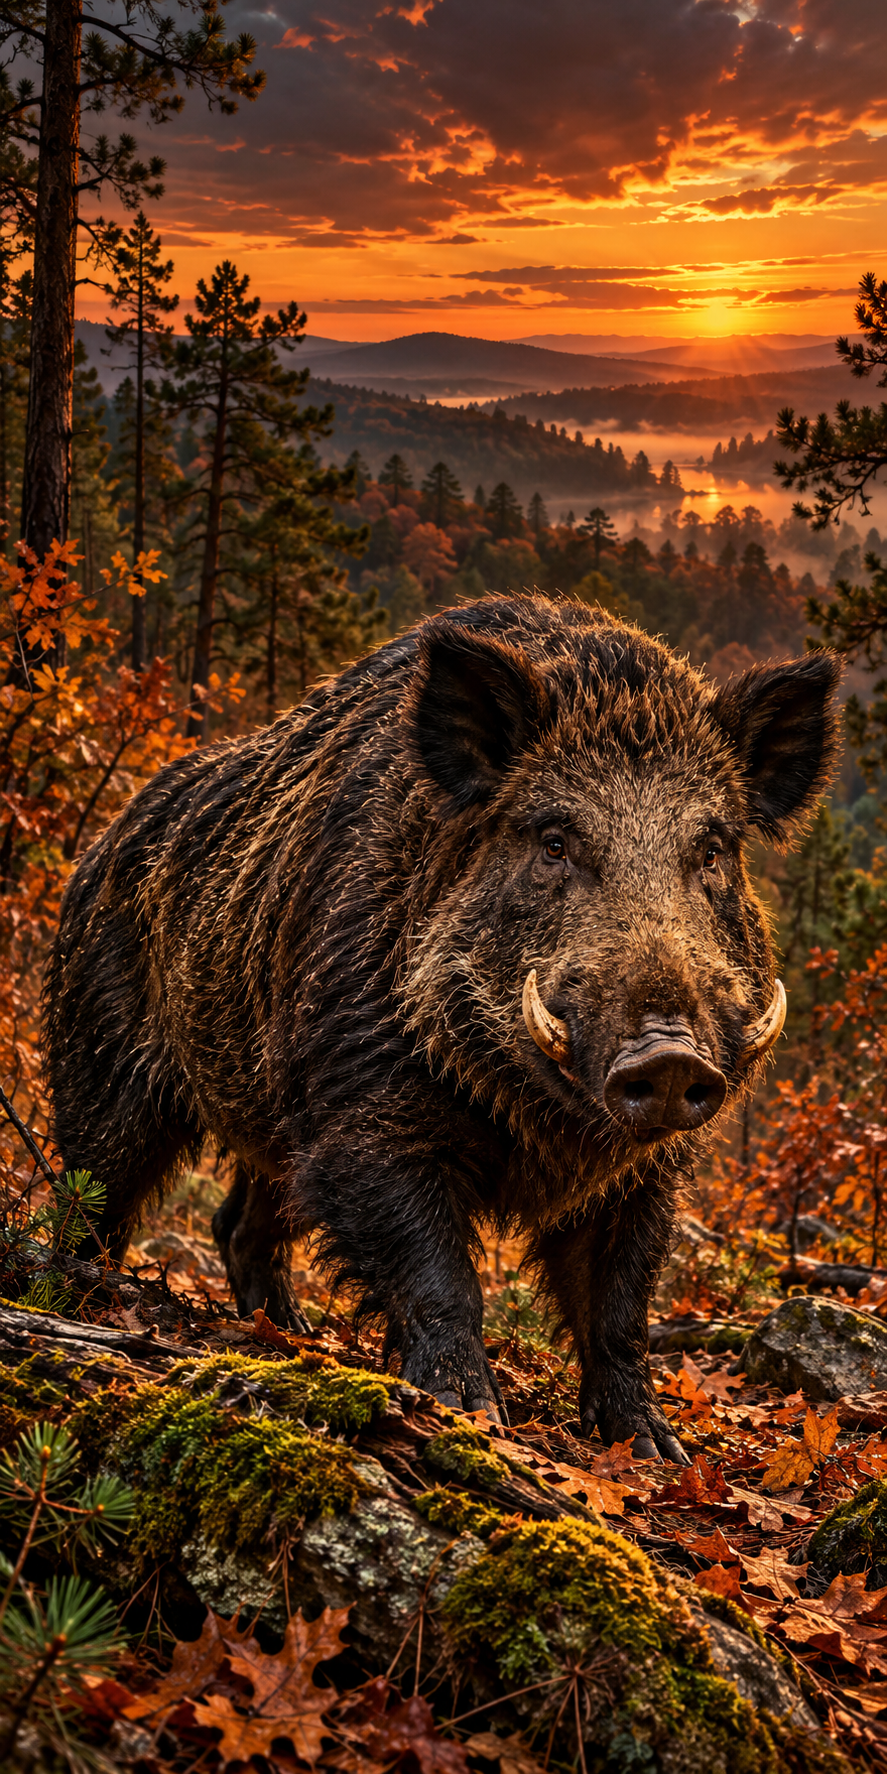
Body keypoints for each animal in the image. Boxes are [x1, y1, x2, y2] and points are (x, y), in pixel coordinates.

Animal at [43, 594, 839, 1460]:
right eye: (552, 841)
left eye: (713, 851)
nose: (667, 1055)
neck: (536, 1124)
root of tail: (97, 848)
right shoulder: (365, 1110)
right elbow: (440, 1276)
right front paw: (467, 1413)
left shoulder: (648, 1173)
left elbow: (621, 1303)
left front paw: (653, 1448)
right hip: (100, 1059)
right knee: (89, 1193)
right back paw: (70, 1302)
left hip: (269, 1120)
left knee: (239, 1222)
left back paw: (289, 1335)